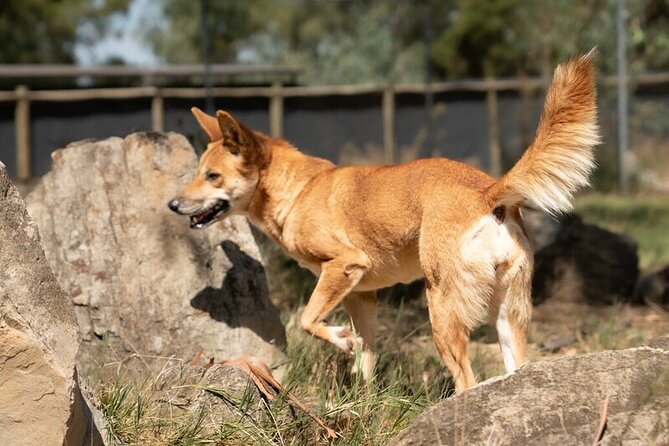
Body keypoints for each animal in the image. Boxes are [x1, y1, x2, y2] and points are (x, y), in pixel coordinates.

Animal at [170, 54, 596, 392]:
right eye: (198, 171)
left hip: (441, 309)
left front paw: (340, 339)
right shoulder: (362, 296)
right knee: (514, 367)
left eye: (211, 176)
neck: (300, 189)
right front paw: (361, 405)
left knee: (466, 379)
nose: (173, 204)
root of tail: (487, 191)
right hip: (509, 313)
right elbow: (365, 360)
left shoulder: (344, 264)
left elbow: (308, 319)